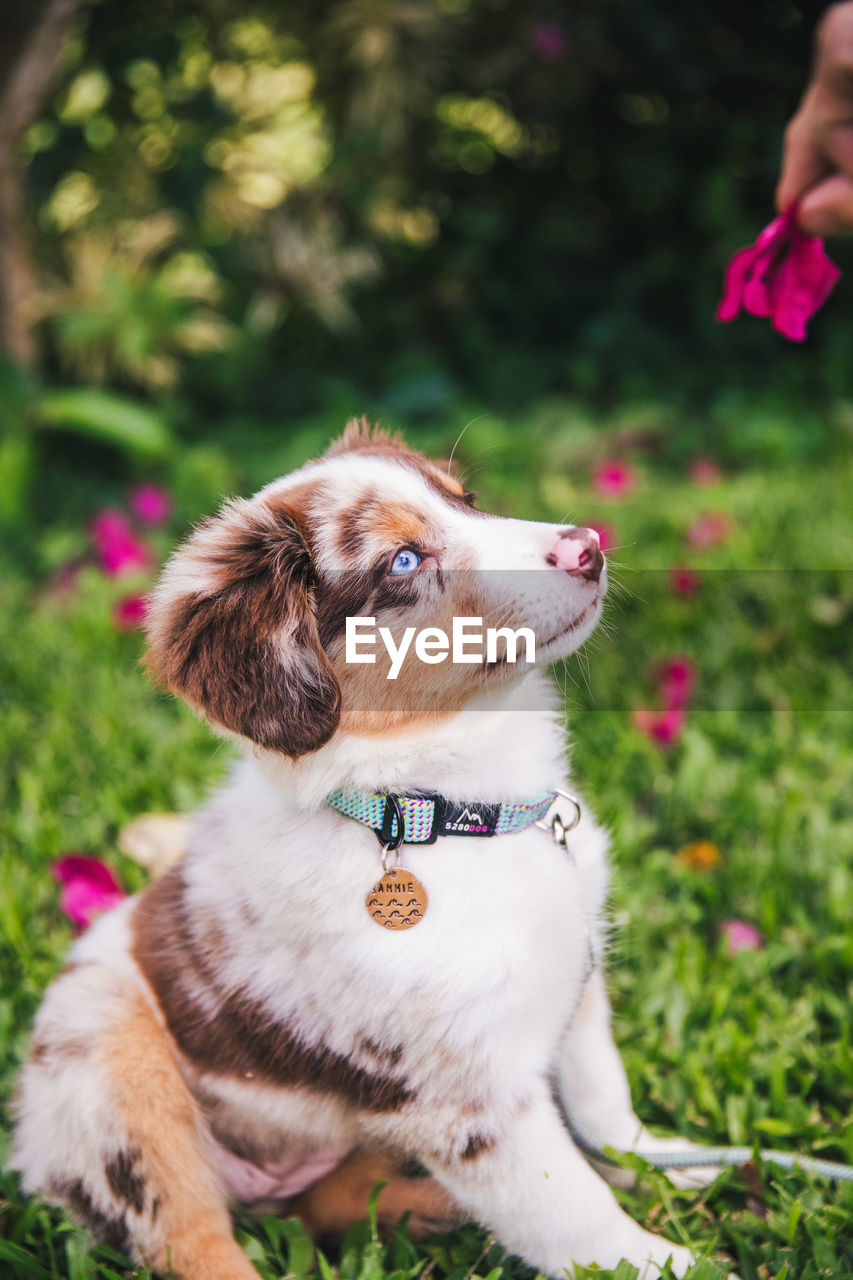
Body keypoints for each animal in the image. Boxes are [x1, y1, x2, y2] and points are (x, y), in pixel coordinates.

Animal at [13, 422, 717, 1280]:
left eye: (467, 499)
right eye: (403, 562)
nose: (587, 547)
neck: (446, 814)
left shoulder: (573, 988)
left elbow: (600, 1101)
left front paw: (667, 1158)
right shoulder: (465, 1104)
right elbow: (571, 1215)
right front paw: (671, 1260)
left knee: (332, 1205)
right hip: (109, 1063)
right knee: (194, 1240)